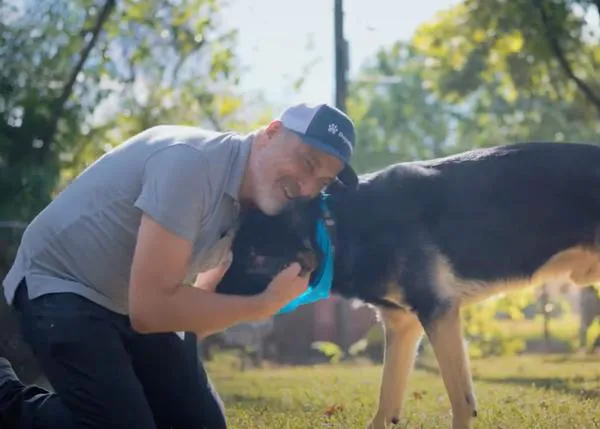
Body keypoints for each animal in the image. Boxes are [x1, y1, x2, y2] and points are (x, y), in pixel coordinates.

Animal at [217, 141, 600, 428]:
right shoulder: (403, 326)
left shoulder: (438, 313)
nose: (211, 298)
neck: (339, 228)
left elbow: (461, 402)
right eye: (234, 253)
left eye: (255, 257)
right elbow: (386, 403)